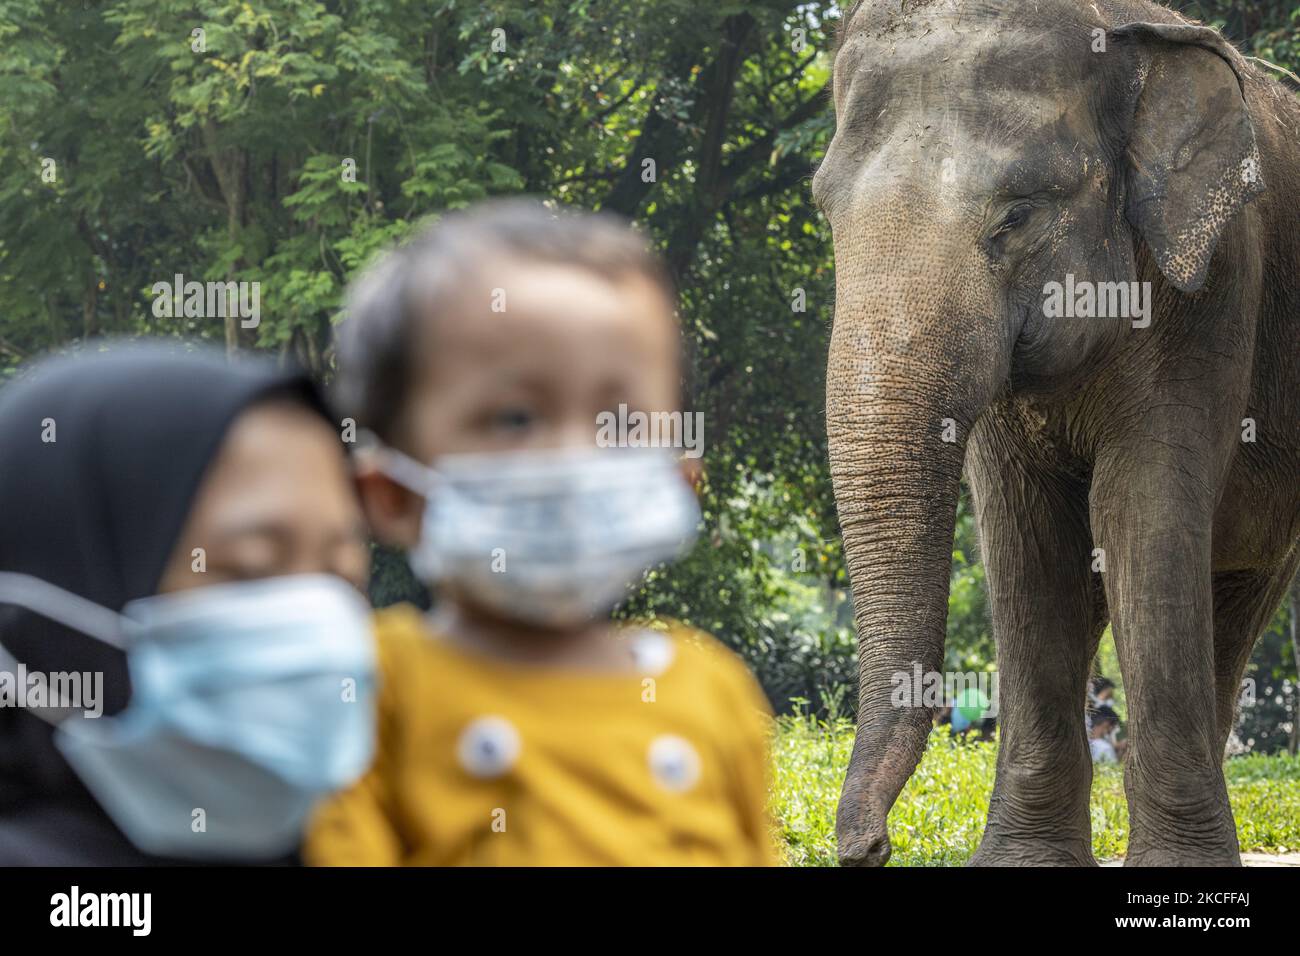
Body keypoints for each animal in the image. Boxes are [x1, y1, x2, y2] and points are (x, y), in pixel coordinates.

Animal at [816, 0, 1294, 868]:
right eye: (825, 214)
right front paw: (1022, 861)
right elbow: (1028, 535)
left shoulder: (1214, 288)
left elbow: (1139, 511)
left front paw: (1178, 868)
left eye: (1018, 214)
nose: (870, 847)